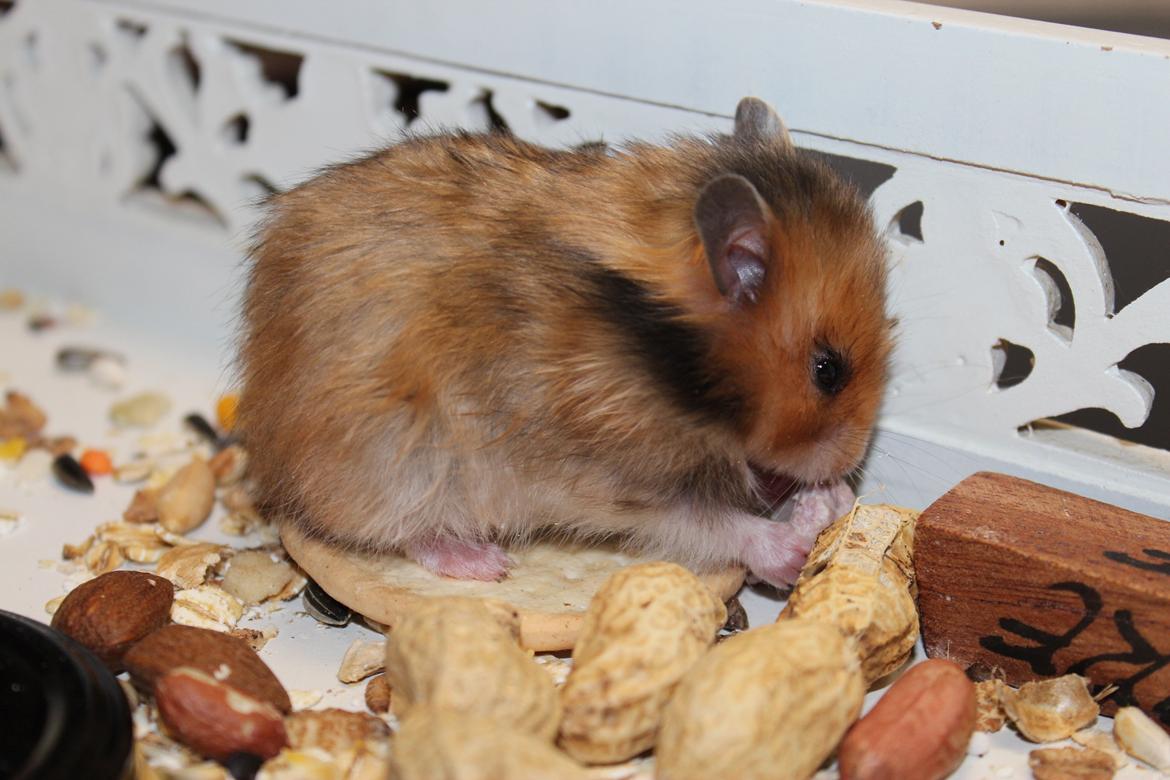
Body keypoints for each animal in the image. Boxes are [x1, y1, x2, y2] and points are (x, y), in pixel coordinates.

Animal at [237, 97, 892, 587]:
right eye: (828, 370)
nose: (853, 460)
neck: (659, 359)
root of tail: (266, 460)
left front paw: (831, 499)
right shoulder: (616, 478)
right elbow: (712, 521)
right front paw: (794, 547)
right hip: (404, 464)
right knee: (401, 532)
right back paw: (485, 564)